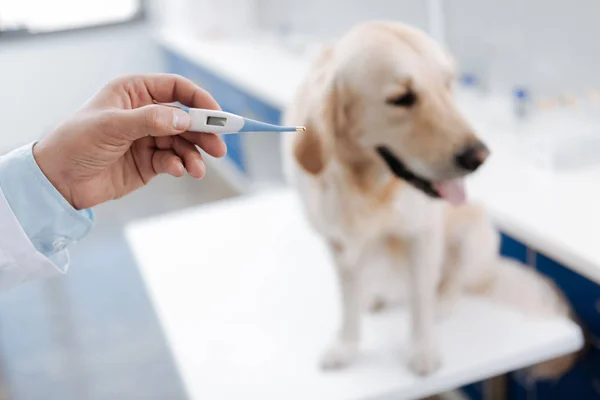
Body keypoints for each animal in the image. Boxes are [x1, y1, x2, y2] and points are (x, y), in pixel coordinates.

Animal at [284, 21, 580, 378]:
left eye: (448, 84)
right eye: (401, 98)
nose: (480, 156)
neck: (368, 187)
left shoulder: (422, 235)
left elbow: (420, 302)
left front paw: (423, 351)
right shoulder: (338, 244)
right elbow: (348, 304)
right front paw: (345, 346)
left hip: (474, 234)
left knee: (455, 282)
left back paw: (444, 303)